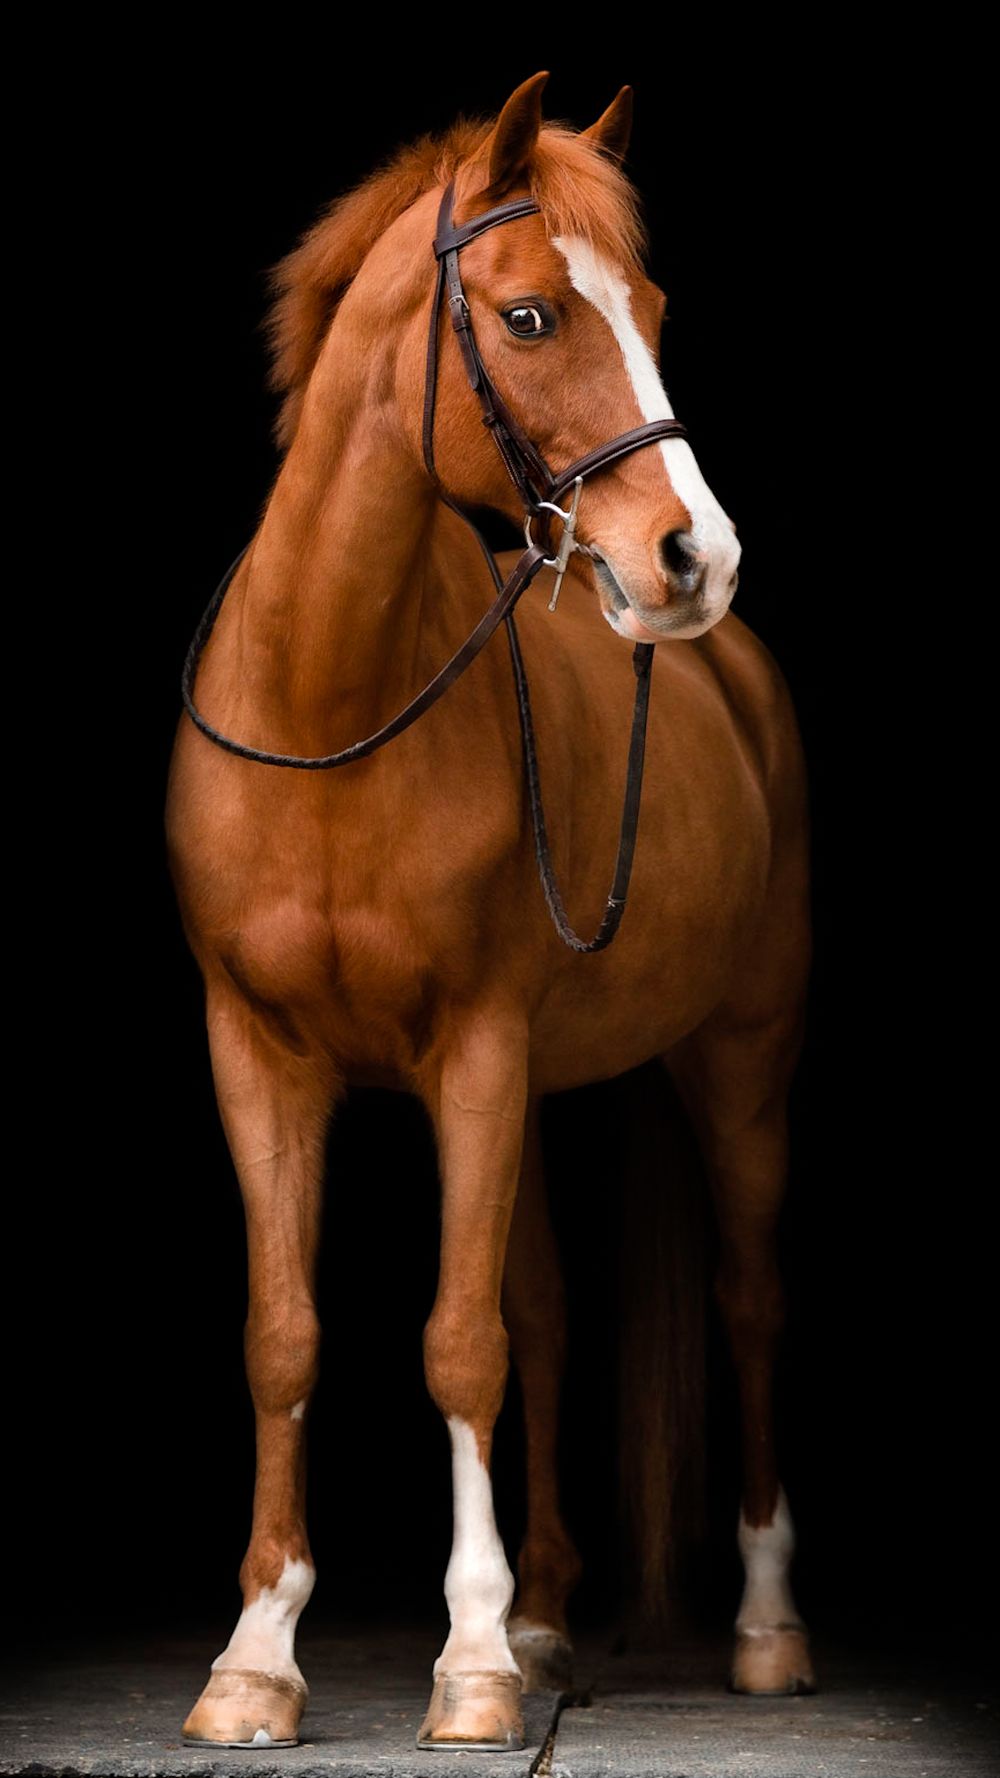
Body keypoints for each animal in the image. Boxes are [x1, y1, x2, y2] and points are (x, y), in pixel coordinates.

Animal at [165, 69, 815, 1753]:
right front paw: (255, 1659)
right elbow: (289, 1336)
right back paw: (545, 1612)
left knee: (747, 1301)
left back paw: (762, 1627)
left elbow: (460, 1340)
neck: (332, 699)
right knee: (551, 1305)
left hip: (738, 1064)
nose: (693, 557)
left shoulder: (478, 1048)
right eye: (529, 316)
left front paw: (465, 1667)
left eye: (652, 306)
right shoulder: (257, 1055)